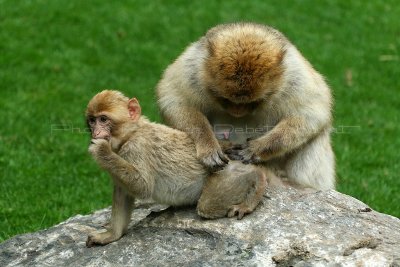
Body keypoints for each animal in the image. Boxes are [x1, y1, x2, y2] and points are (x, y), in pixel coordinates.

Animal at [85, 91, 268, 248]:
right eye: (92, 121)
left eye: (103, 119)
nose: (95, 132)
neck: (131, 134)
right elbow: (123, 192)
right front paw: (111, 235)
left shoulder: (137, 148)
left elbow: (143, 187)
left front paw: (102, 151)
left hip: (224, 171)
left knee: (207, 205)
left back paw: (256, 180)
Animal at [156, 23, 334, 191]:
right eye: (225, 100)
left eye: (252, 103)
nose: (237, 112)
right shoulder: (193, 68)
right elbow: (175, 100)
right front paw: (211, 145)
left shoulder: (295, 77)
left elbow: (311, 114)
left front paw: (258, 148)